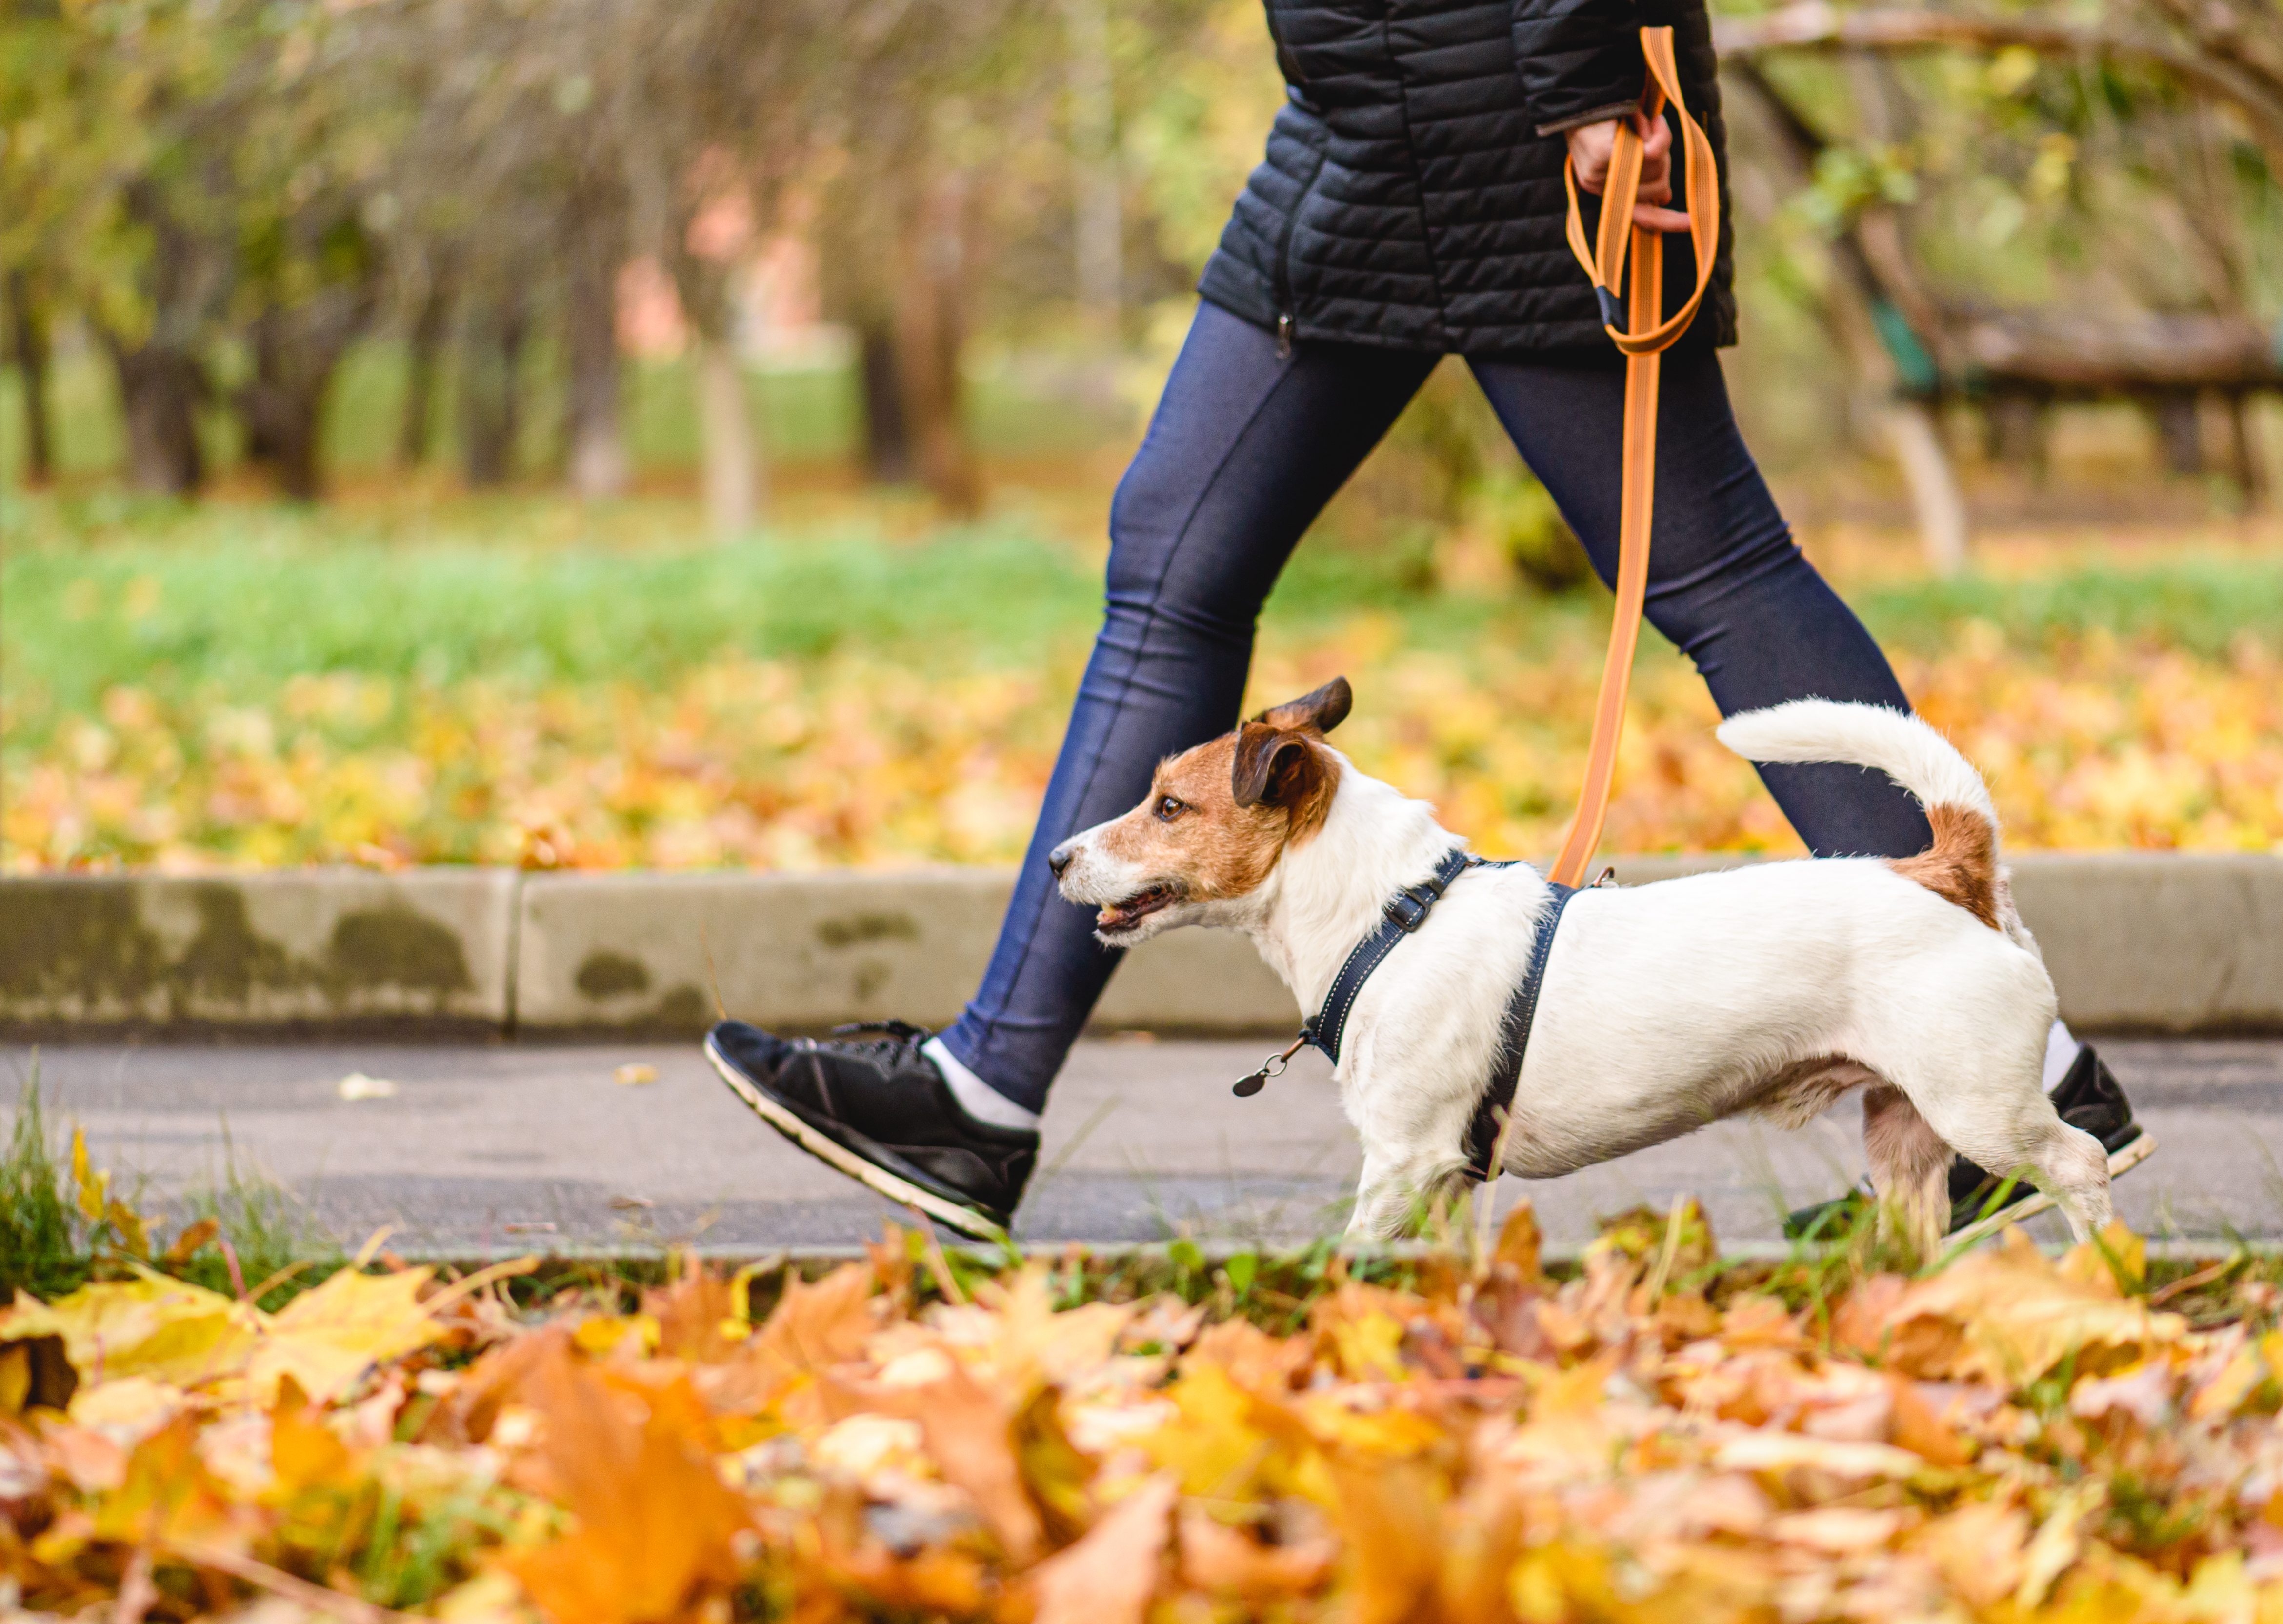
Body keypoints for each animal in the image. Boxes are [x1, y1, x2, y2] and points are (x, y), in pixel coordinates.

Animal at [1045, 676, 2109, 1261]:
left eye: (1169, 805)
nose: (1054, 858)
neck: (1391, 917)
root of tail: (1950, 867)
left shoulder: (1402, 1160)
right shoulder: (1444, 1179)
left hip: (1984, 1109)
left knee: (2082, 1164)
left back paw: (2111, 1272)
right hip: (1905, 1136)